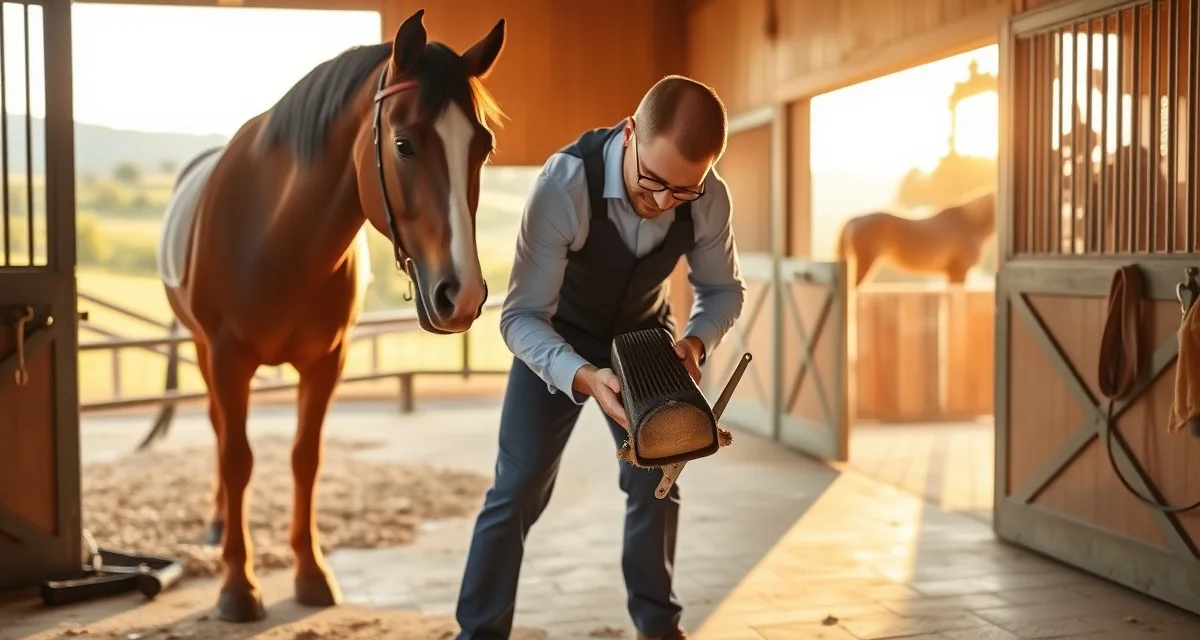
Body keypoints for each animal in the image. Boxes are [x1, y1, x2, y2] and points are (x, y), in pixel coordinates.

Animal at [154, 10, 506, 622]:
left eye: (481, 147)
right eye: (404, 144)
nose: (460, 295)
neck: (276, 237)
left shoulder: (326, 363)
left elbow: (305, 459)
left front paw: (311, 573)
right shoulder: (227, 357)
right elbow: (238, 458)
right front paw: (237, 586)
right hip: (201, 351)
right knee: (220, 431)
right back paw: (218, 527)